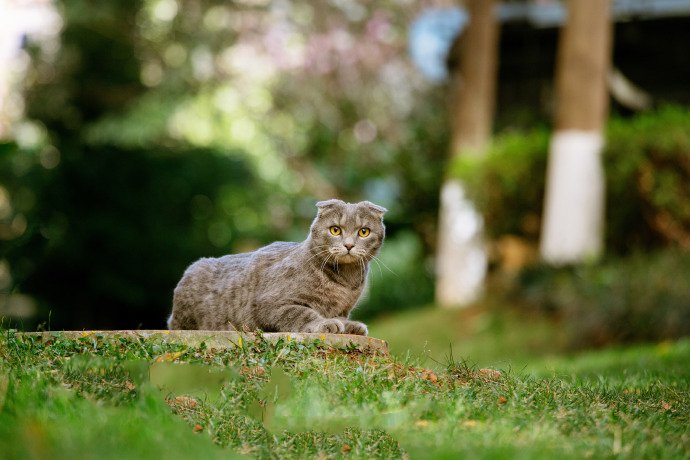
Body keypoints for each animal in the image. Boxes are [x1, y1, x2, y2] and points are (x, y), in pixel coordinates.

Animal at [165, 198, 382, 334]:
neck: (345, 280)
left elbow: (342, 318)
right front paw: (326, 323)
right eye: (335, 230)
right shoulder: (271, 303)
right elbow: (304, 313)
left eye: (363, 232)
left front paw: (352, 326)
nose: (348, 245)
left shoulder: (343, 309)